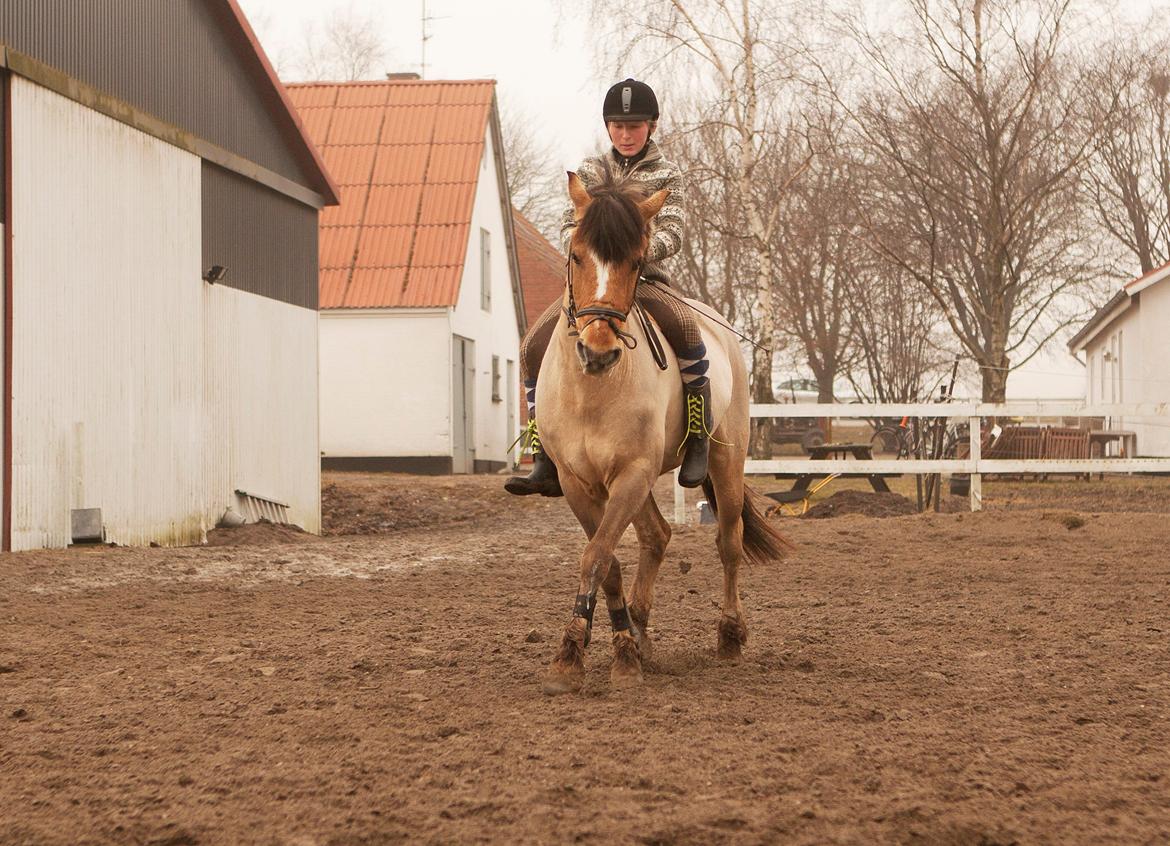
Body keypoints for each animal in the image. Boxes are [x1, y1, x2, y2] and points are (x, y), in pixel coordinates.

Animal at [535, 167, 790, 692]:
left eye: (637, 262)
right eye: (576, 254)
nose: (598, 351)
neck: (593, 389)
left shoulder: (631, 473)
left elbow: (596, 556)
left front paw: (592, 657)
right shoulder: (578, 483)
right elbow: (608, 560)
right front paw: (601, 649)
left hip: (725, 461)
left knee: (728, 542)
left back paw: (729, 636)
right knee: (657, 536)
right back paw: (639, 630)